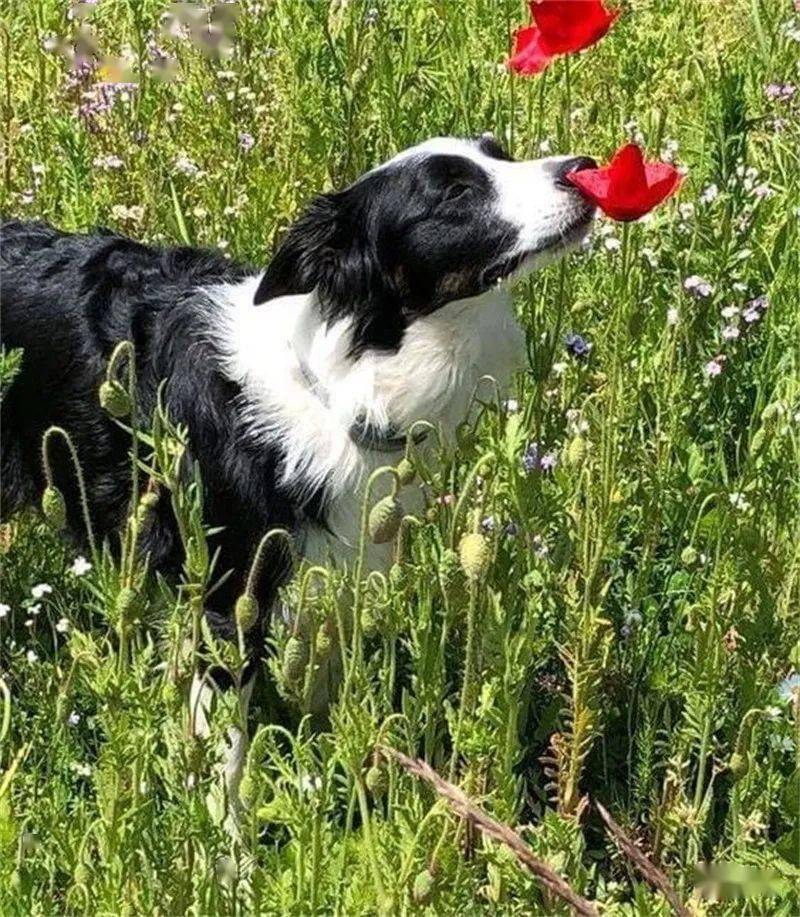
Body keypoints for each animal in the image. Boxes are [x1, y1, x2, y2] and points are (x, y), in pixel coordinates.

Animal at [0, 131, 592, 808]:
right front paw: (225, 837)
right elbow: (224, 757)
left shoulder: (340, 573)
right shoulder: (225, 599)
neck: (343, 384)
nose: (582, 169)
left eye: (499, 152)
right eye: (453, 194)